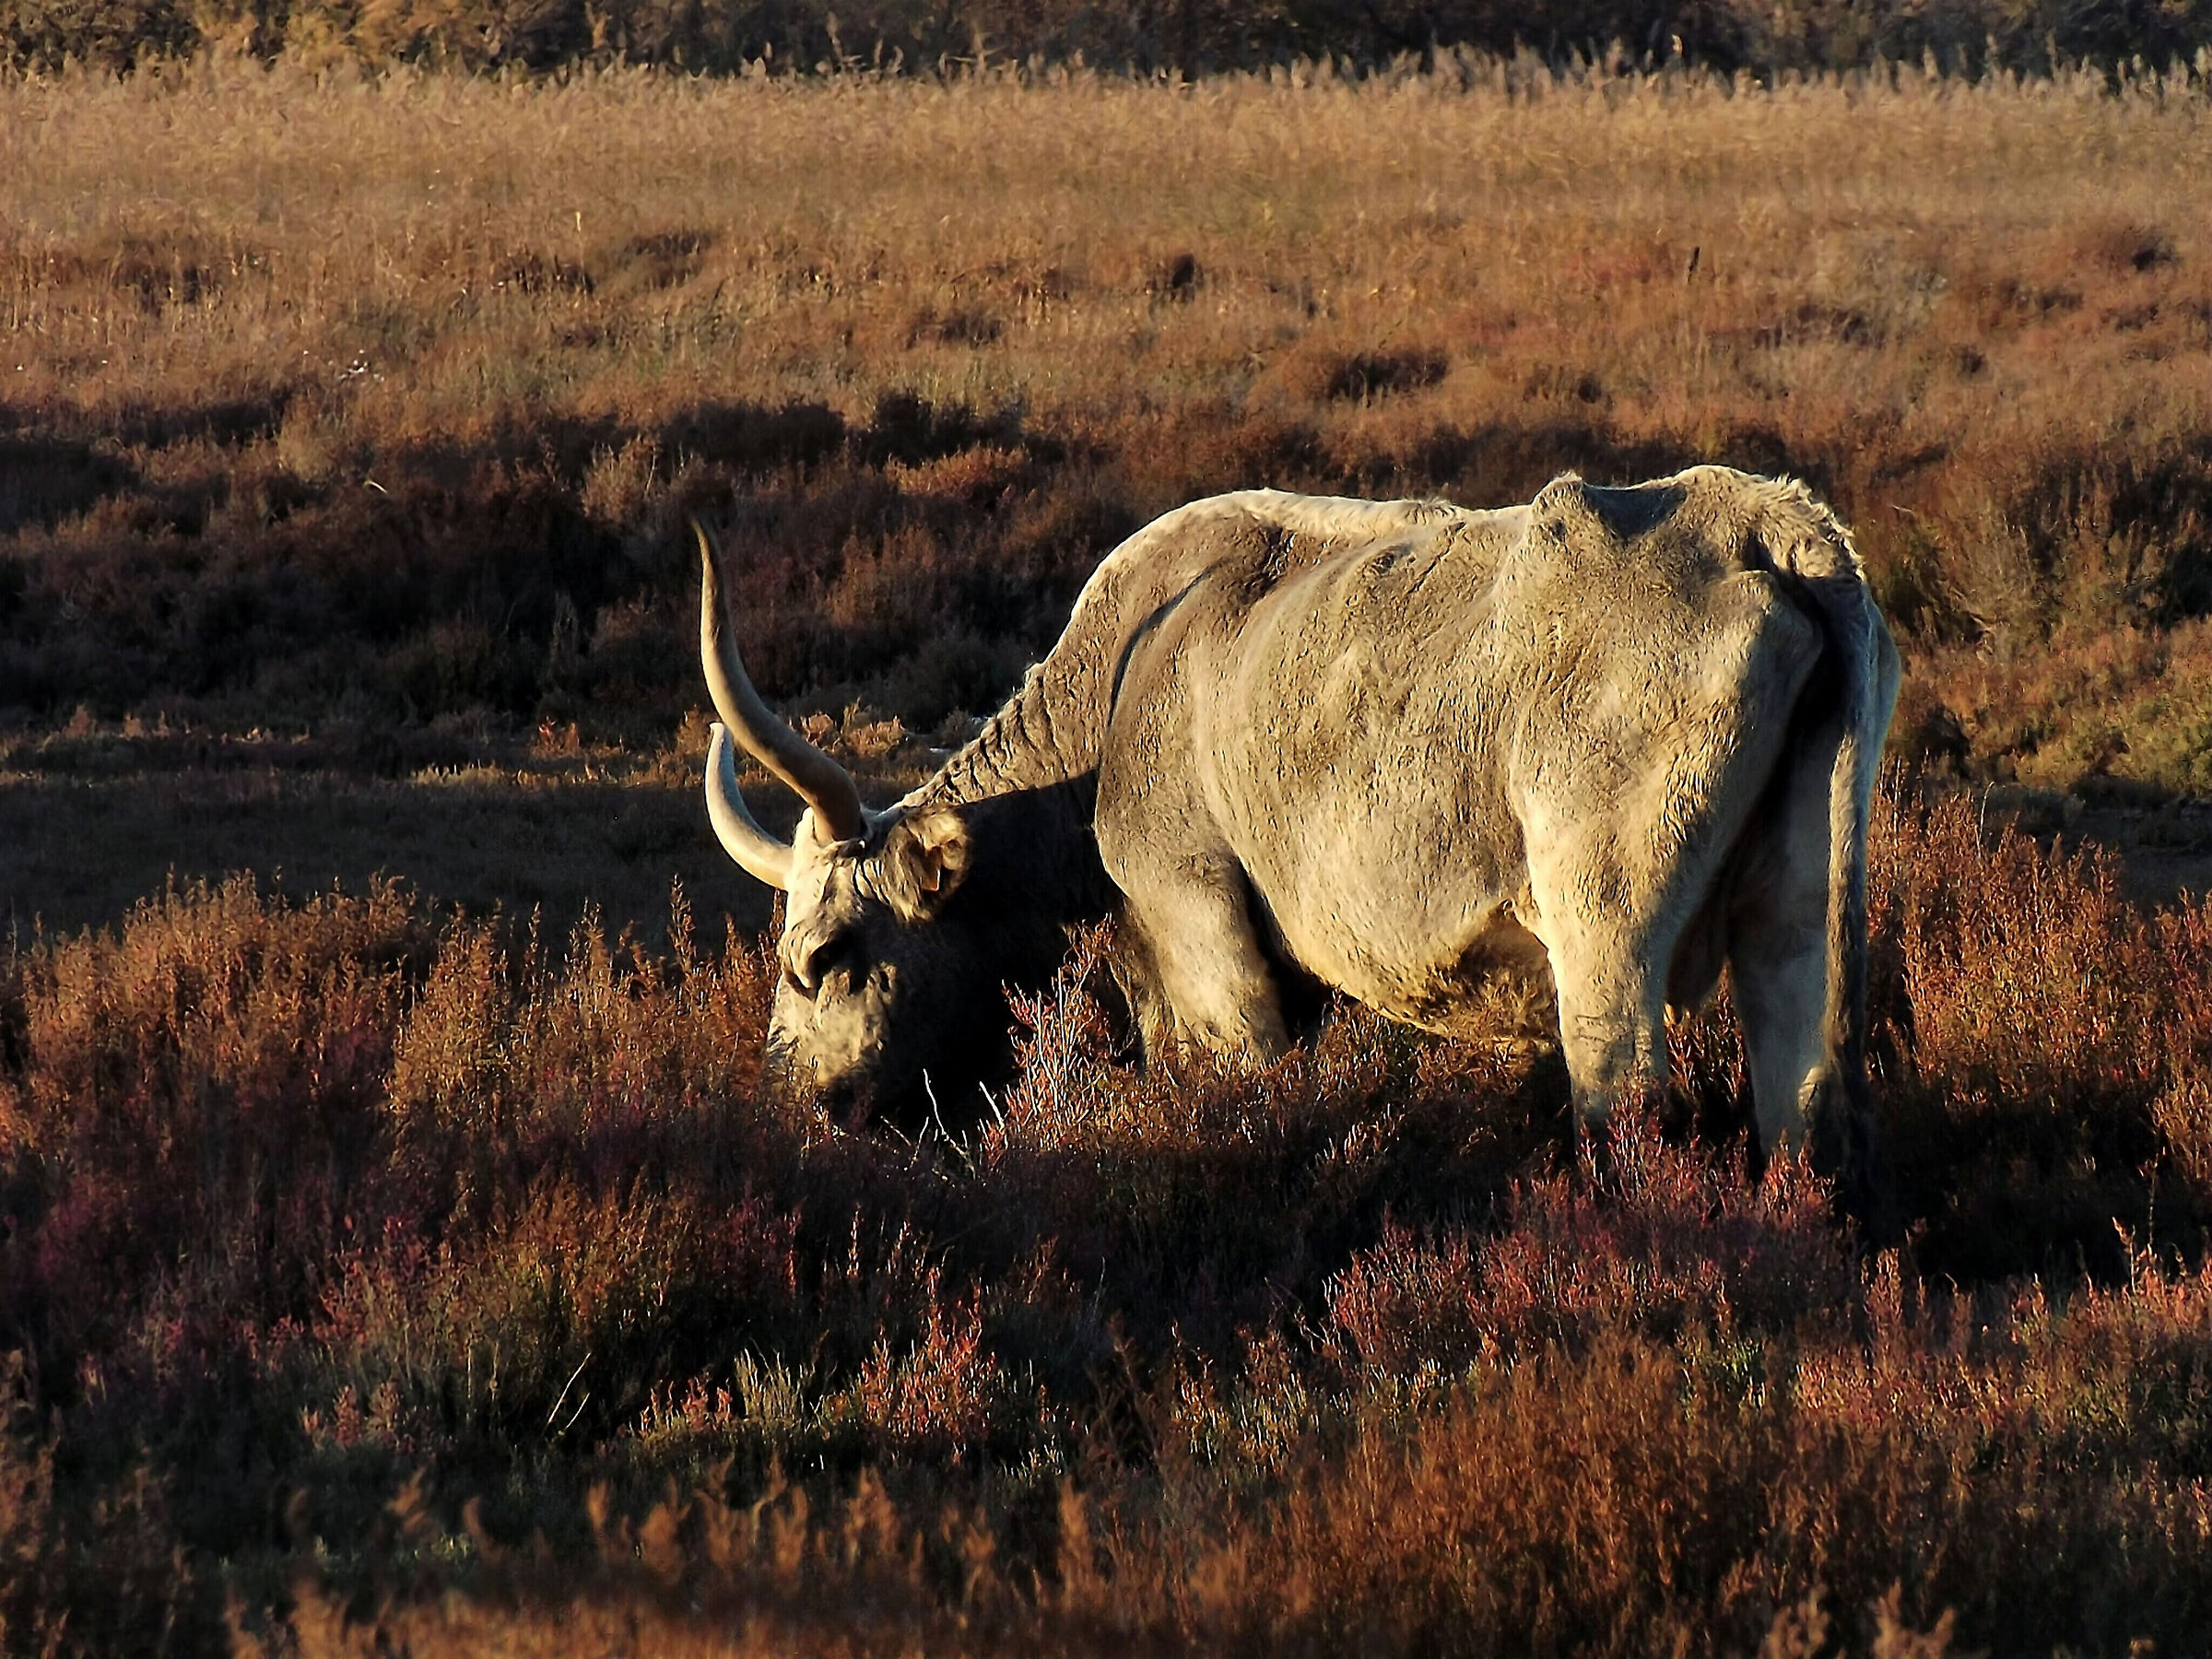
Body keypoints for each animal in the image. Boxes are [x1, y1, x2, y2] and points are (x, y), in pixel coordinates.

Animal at [693, 466, 1900, 1206]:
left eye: (823, 958)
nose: (793, 1107)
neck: (1123, 689)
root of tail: (1768, 524)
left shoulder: (1204, 930)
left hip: (1605, 936)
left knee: (1628, 1100)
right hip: (1795, 916)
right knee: (1803, 1107)